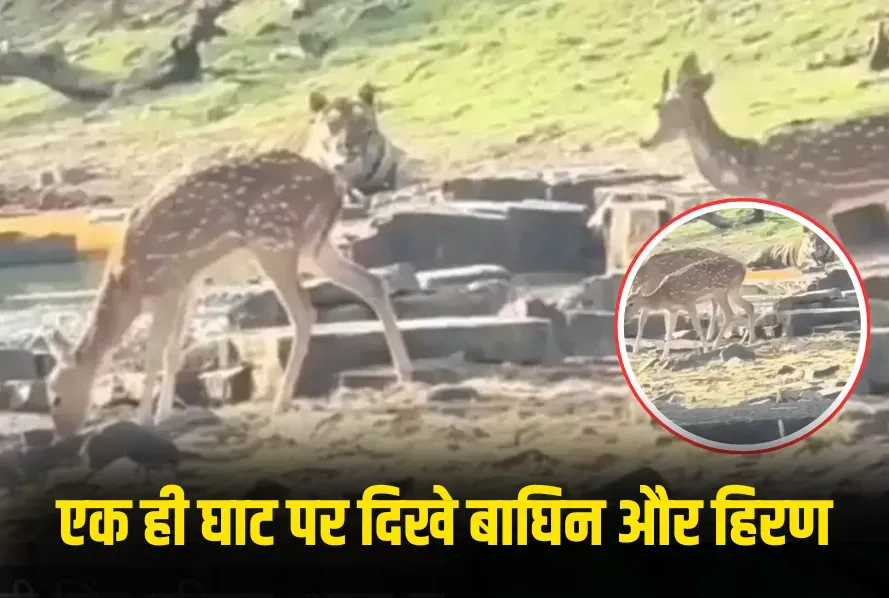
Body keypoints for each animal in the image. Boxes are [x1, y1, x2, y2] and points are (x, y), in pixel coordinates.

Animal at [44, 83, 413, 438]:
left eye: (55, 396)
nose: (62, 434)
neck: (128, 284)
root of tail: (335, 187)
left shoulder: (168, 285)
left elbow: (154, 353)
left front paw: (143, 419)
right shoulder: (188, 284)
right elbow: (174, 351)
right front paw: (164, 415)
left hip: (273, 241)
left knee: (305, 313)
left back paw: (281, 401)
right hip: (314, 246)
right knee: (372, 283)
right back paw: (404, 372)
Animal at [625, 254, 756, 360]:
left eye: (631, 303)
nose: (625, 319)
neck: (664, 297)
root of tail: (743, 268)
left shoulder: (689, 302)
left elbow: (697, 326)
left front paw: (705, 349)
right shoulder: (673, 310)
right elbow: (669, 331)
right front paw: (663, 356)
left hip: (721, 290)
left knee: (730, 313)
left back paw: (716, 345)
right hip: (733, 290)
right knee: (749, 306)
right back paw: (750, 340)